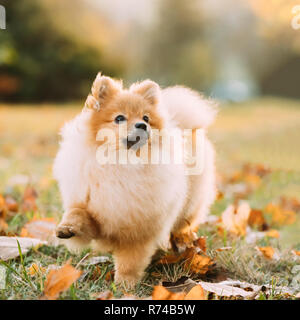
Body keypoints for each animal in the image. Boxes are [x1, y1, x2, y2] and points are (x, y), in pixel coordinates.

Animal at [54, 73, 217, 288]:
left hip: (188, 207)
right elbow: (78, 213)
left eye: (145, 118)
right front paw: (67, 228)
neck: (121, 165)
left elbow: (129, 261)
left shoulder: (137, 231)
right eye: (119, 118)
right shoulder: (94, 208)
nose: (142, 125)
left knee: (182, 226)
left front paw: (125, 285)